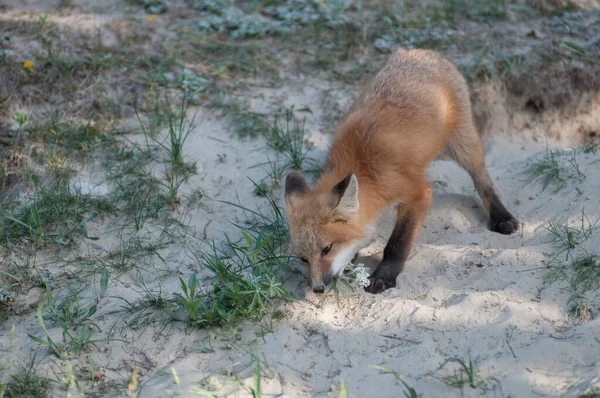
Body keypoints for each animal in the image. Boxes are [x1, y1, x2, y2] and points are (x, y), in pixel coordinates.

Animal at [284, 48, 516, 294]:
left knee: (483, 180)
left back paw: (502, 216)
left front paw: (384, 276)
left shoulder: (417, 193)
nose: (317, 289)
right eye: (303, 259)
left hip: (463, 142)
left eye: (326, 249)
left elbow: (397, 243)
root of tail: (422, 52)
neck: (363, 166)